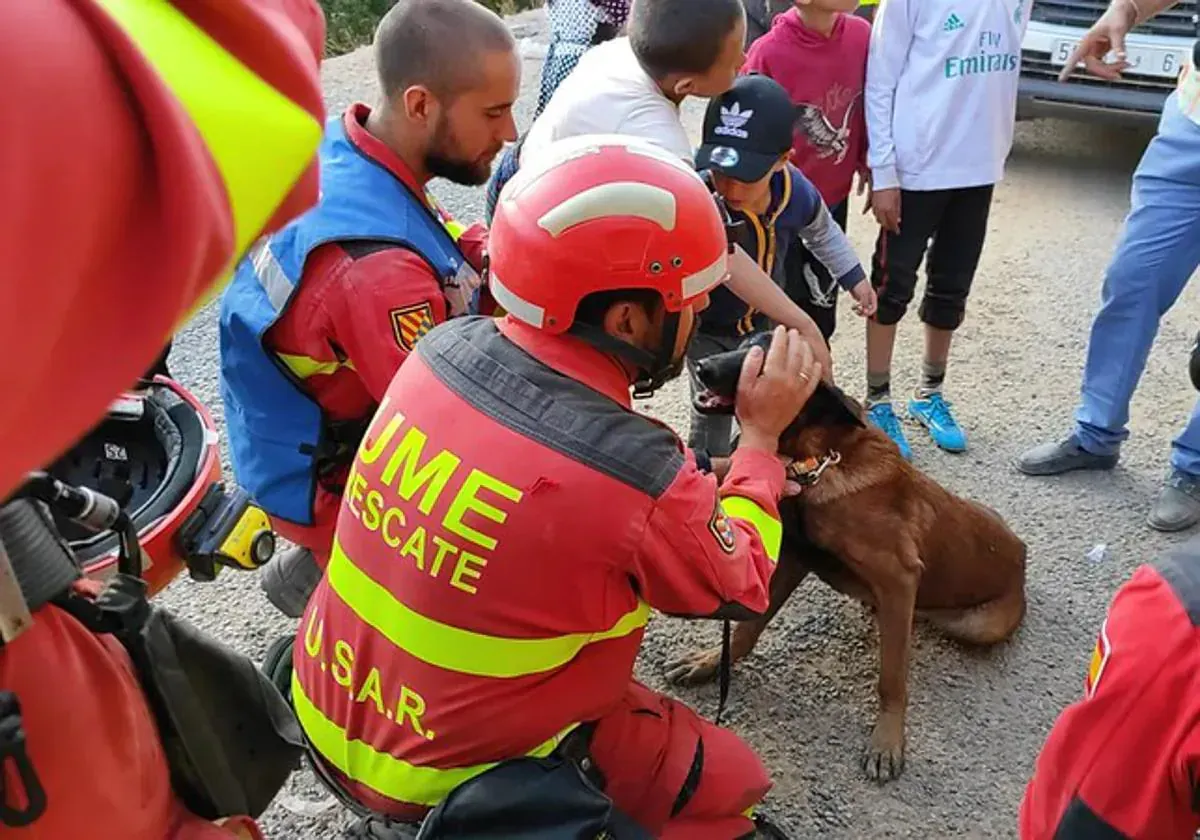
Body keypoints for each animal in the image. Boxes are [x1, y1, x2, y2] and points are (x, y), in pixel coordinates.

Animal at [672, 333, 1027, 782]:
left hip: (978, 625)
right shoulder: (793, 559)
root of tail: (1021, 556)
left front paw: (887, 739)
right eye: (744, 342)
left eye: (764, 362)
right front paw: (712, 663)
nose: (701, 368)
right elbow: (747, 628)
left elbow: (891, 676)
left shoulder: (899, 577)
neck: (818, 460)